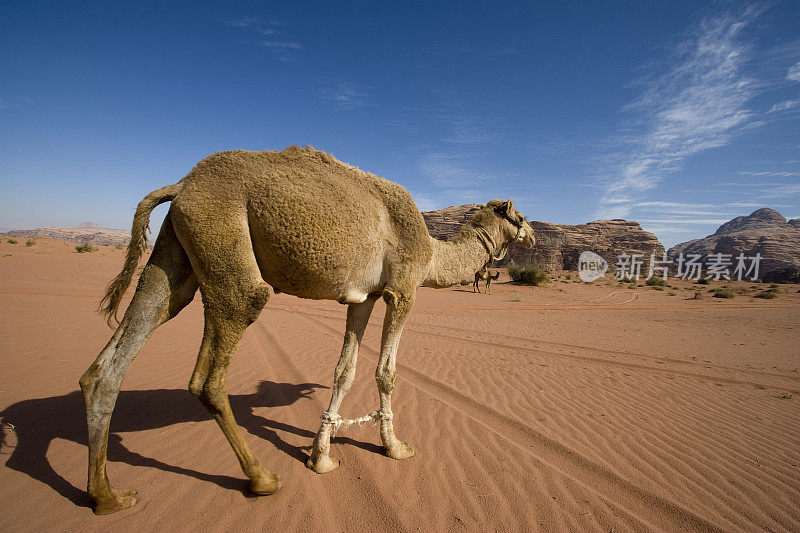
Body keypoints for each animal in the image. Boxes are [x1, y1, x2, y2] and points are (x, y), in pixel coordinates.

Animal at [78, 144, 536, 512]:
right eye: (521, 216)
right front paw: (395, 447)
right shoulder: (402, 290)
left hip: (176, 252)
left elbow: (345, 371)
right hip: (224, 244)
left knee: (116, 357)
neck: (432, 253)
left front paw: (322, 456)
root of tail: (181, 186)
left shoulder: (364, 298)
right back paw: (261, 478)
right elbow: (386, 372)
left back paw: (107, 496)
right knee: (212, 368)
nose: (532, 235)